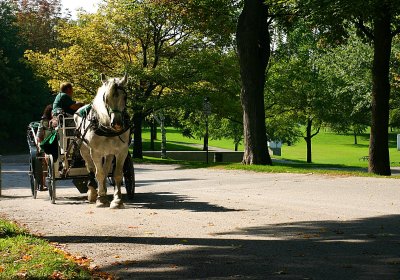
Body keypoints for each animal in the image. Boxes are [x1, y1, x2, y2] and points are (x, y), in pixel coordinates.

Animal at [74, 73, 130, 209]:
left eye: (125, 97)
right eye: (106, 98)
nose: (117, 123)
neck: (107, 129)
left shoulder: (122, 151)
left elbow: (117, 174)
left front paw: (117, 200)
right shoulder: (95, 152)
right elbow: (98, 174)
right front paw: (101, 199)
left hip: (109, 153)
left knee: (105, 169)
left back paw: (102, 190)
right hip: (85, 151)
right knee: (91, 169)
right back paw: (94, 193)